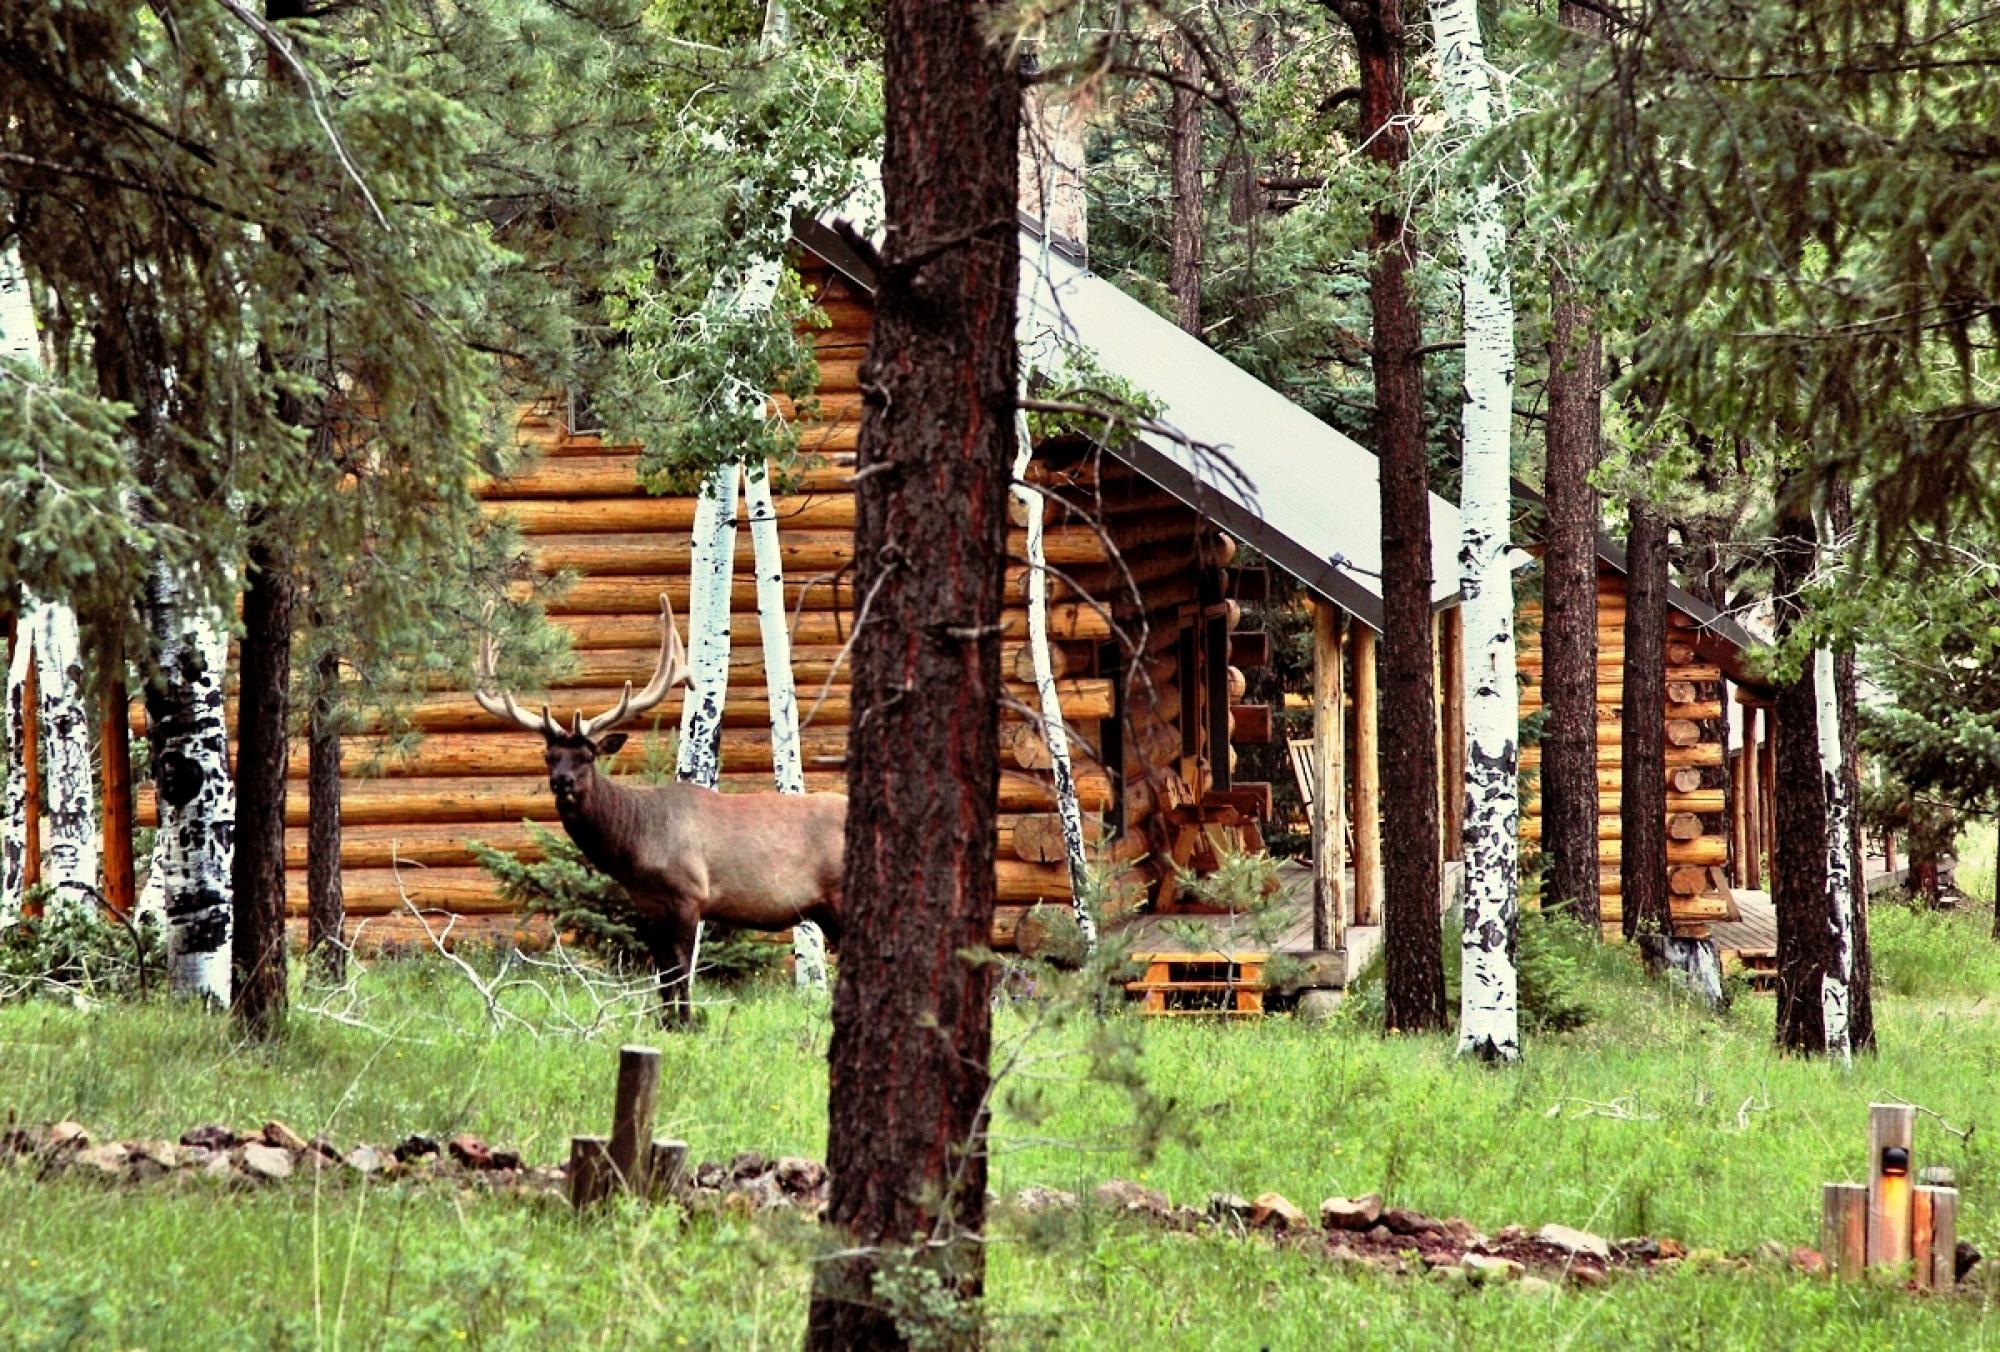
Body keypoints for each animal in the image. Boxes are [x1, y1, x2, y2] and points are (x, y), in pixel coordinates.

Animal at [476, 596, 844, 1020]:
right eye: (549, 756)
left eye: (588, 755)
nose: (561, 781)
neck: (637, 844)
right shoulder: (647, 905)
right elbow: (664, 976)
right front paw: (667, 1023)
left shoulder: (689, 894)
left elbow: (682, 973)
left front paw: (686, 1023)